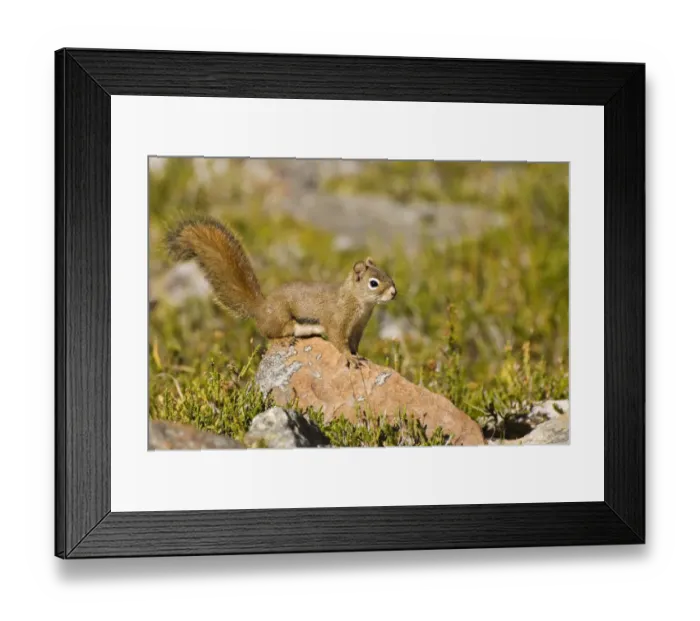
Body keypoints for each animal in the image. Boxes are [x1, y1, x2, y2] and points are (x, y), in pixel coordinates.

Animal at [167, 217, 397, 367]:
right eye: (374, 283)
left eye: (387, 274)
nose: (394, 293)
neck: (359, 303)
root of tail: (261, 308)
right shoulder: (337, 321)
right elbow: (338, 340)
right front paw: (349, 358)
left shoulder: (358, 327)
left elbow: (354, 343)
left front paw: (359, 355)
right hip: (282, 320)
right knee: (268, 335)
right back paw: (283, 341)